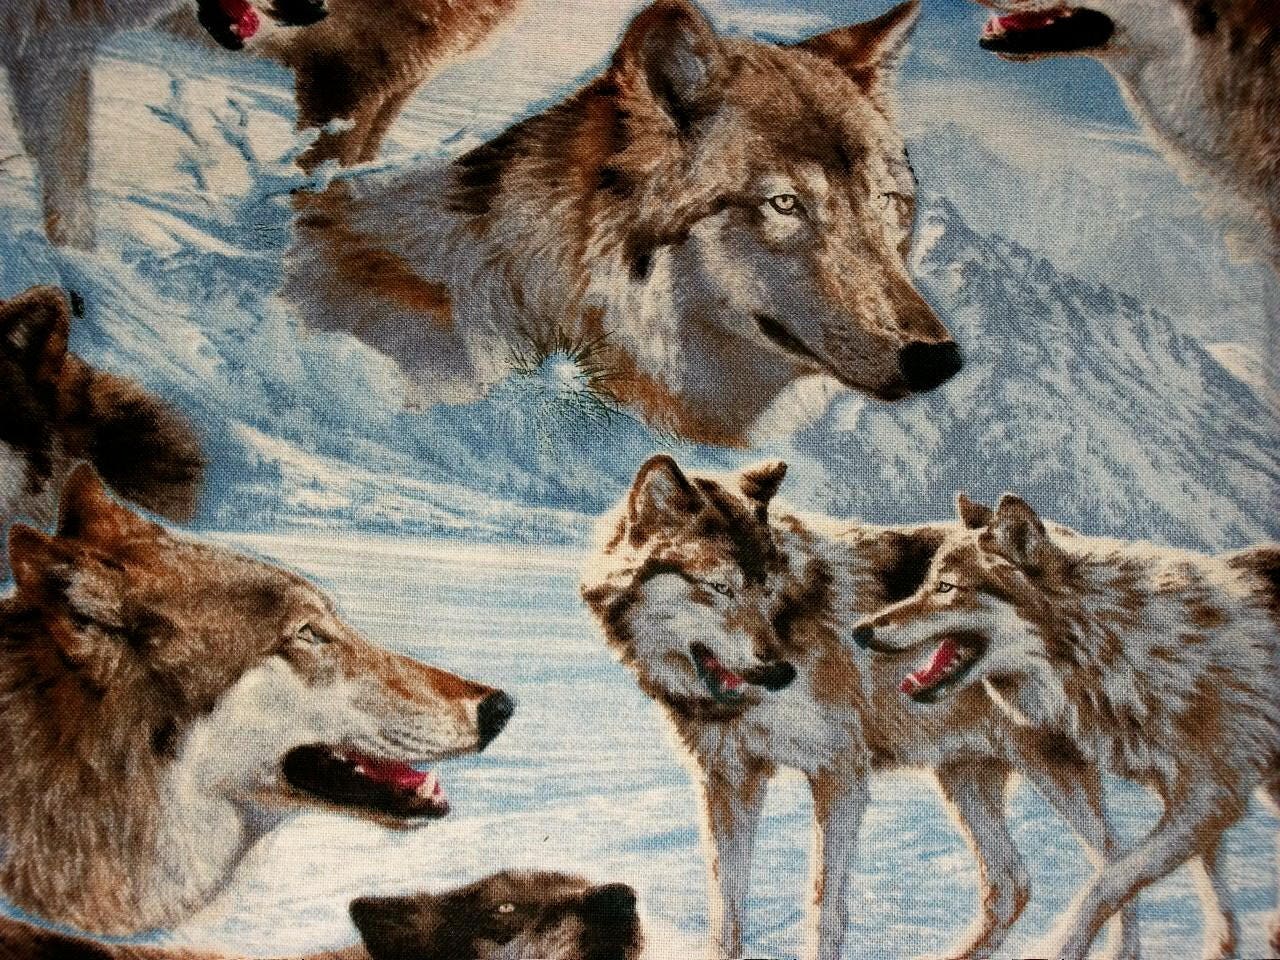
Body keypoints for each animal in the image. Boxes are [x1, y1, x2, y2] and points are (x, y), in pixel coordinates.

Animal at [581, 456, 1146, 960]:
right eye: (720, 587)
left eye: (767, 590)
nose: (780, 671)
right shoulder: (728, 780)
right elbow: (726, 912)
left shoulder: (840, 773)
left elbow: (823, 906)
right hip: (962, 776)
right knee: (1012, 884)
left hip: (1049, 773)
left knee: (1117, 862)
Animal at [853, 492, 1280, 959]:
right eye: (926, 583)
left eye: (945, 588)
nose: (860, 630)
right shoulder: (1187, 797)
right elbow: (1205, 890)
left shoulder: (1212, 794)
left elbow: (1112, 878)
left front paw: (1058, 945)